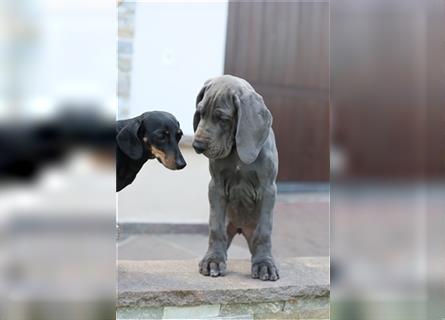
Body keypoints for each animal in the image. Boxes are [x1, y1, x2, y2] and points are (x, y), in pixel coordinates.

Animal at [193, 74, 280, 280]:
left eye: (223, 118)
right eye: (200, 113)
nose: (197, 145)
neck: (236, 151)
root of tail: (240, 228)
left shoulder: (268, 189)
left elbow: (265, 231)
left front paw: (264, 264)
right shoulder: (216, 187)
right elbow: (215, 228)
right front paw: (213, 260)